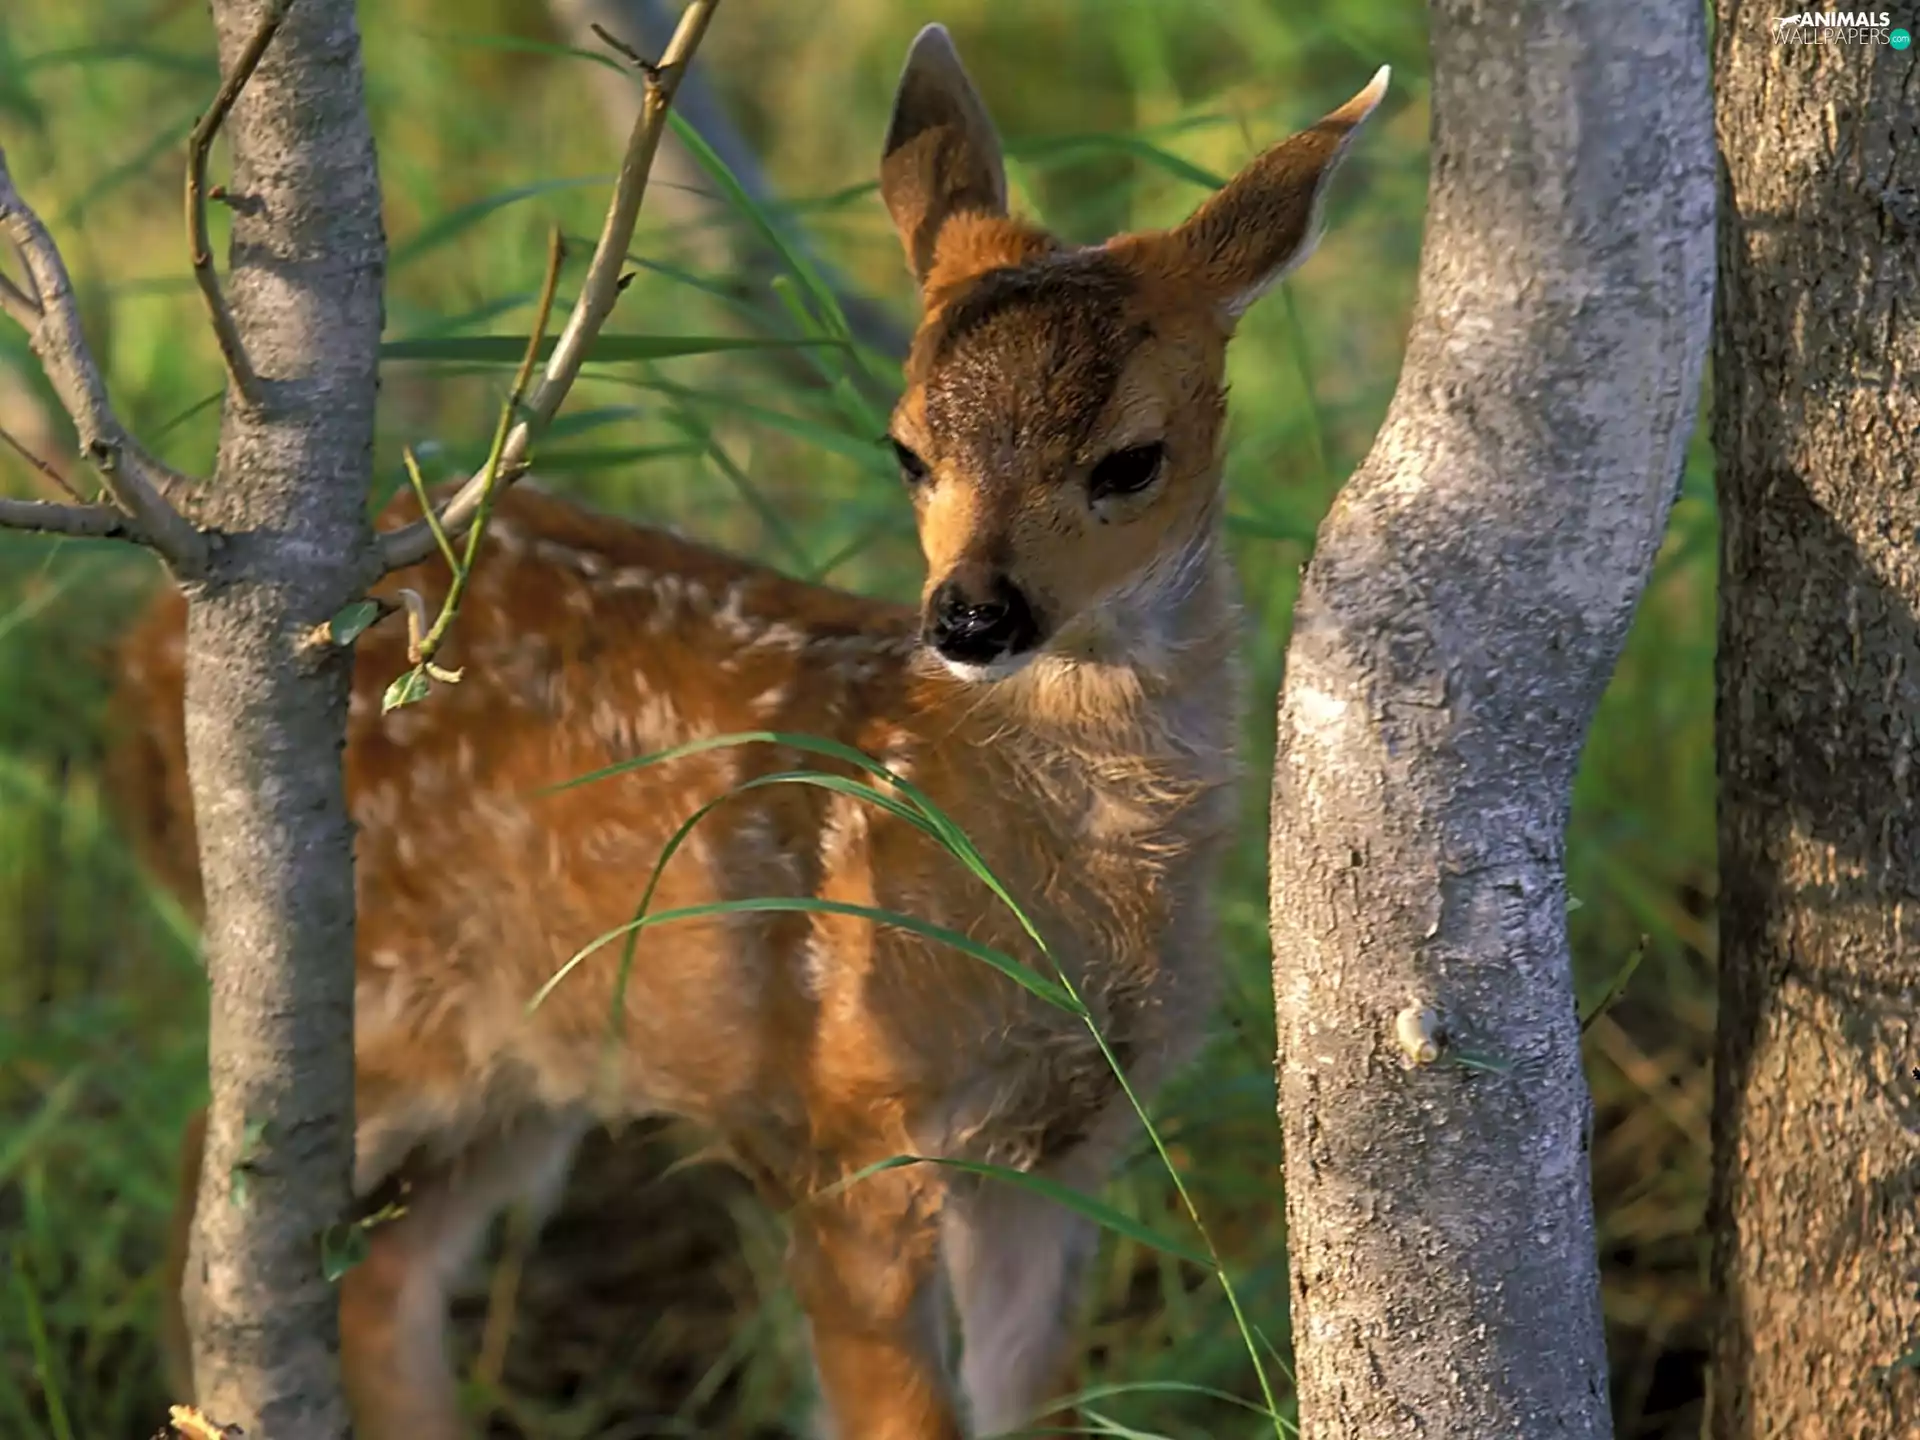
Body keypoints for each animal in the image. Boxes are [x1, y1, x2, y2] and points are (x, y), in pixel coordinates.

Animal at [107, 26, 1387, 1440]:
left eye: (1129, 461)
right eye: (906, 450)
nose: (971, 615)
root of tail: (140, 659)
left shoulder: (1073, 1144)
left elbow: (1038, 1403)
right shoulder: (850, 1130)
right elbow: (904, 1411)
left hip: (528, 1059)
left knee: (383, 1266)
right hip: (375, 1002)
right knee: (215, 1199)